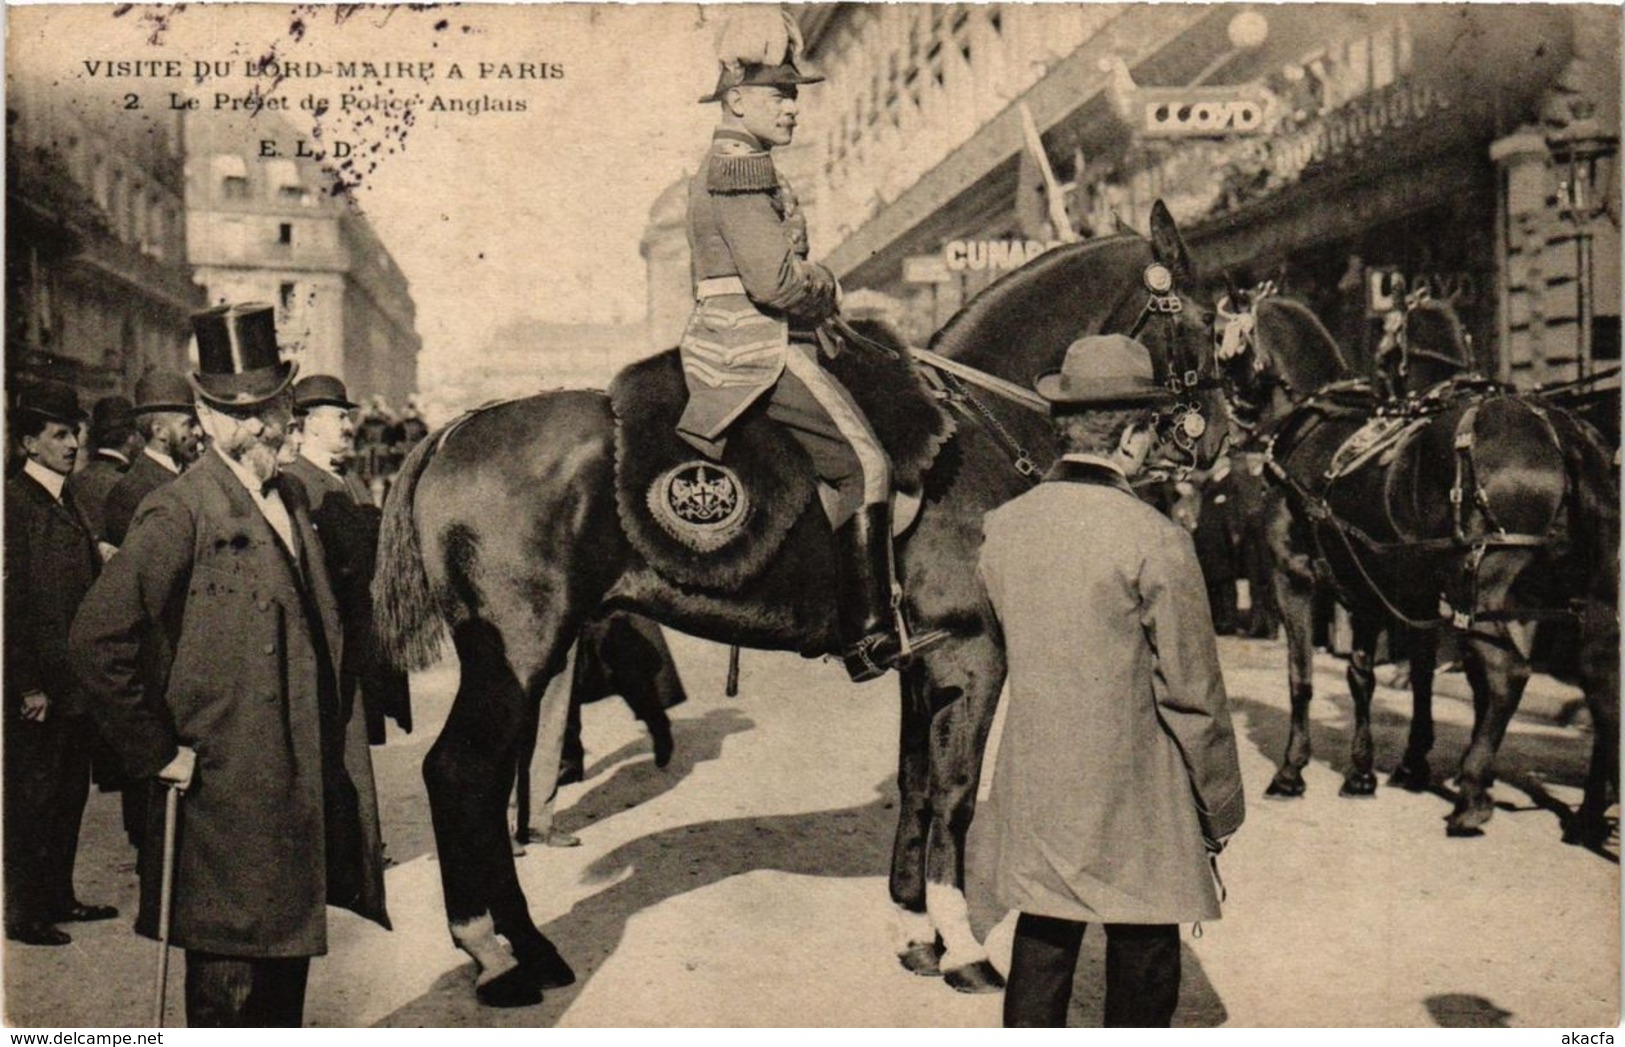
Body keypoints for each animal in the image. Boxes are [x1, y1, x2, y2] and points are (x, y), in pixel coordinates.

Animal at [372, 202, 1222, 1007]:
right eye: (1206, 317)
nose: (1214, 436)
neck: (973, 433)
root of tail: (453, 429)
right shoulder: (972, 650)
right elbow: (953, 795)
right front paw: (964, 951)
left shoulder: (923, 660)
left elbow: (916, 786)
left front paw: (914, 933)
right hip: (516, 650)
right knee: (459, 772)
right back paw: (495, 956)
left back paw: (522, 946)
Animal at [1222, 287, 1612, 845]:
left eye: (1222, 345)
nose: (1232, 420)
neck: (1317, 422)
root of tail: (1555, 427)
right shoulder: (1374, 587)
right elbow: (1370, 675)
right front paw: (1367, 772)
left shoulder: (1293, 576)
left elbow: (1302, 676)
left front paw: (1292, 770)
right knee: (1598, 677)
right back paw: (1587, 812)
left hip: (1484, 588)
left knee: (1508, 674)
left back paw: (1472, 797)